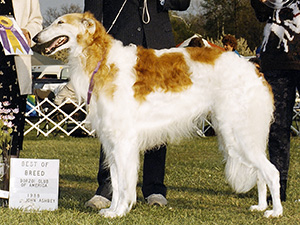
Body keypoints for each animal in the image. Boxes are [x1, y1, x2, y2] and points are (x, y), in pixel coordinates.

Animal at [34, 12, 282, 218]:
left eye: (60, 22)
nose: (36, 38)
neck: (102, 59)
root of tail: (255, 70)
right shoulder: (111, 140)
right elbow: (115, 181)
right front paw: (112, 210)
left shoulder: (124, 141)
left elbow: (124, 184)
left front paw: (120, 211)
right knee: (261, 173)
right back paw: (261, 206)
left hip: (237, 132)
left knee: (272, 171)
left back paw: (275, 211)